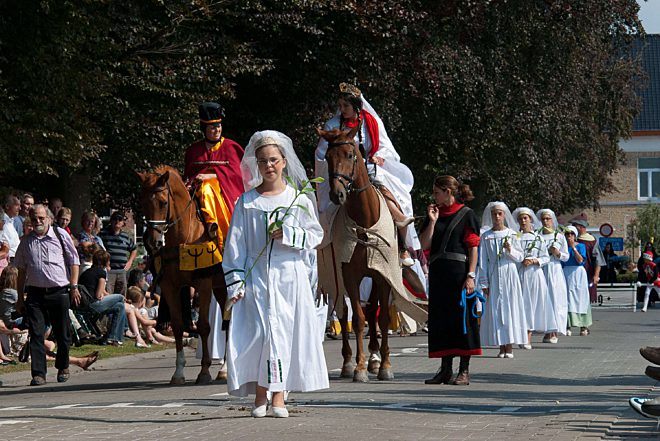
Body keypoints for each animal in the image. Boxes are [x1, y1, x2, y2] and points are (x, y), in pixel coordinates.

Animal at [136, 167, 227, 384]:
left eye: (163, 202)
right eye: (142, 202)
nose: (152, 242)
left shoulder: (203, 284)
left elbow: (203, 326)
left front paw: (204, 371)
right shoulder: (170, 286)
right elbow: (177, 326)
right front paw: (178, 372)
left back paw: (225, 369)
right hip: (220, 287)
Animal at [318, 126, 400, 382]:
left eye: (350, 155)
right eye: (328, 157)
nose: (337, 194)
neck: (365, 222)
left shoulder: (382, 275)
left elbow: (380, 317)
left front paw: (384, 365)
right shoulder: (350, 276)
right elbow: (358, 319)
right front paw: (359, 368)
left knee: (372, 311)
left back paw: (375, 358)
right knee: (344, 313)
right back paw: (347, 363)